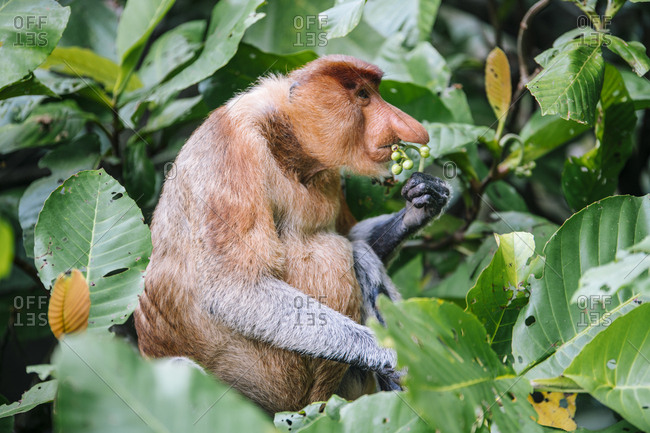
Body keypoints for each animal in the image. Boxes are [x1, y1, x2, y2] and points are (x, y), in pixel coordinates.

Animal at [133, 55, 450, 414]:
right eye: (363, 95)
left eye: (373, 92)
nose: (413, 129)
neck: (286, 142)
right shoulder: (231, 152)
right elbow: (234, 289)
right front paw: (391, 353)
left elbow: (353, 234)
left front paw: (426, 199)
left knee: (358, 252)